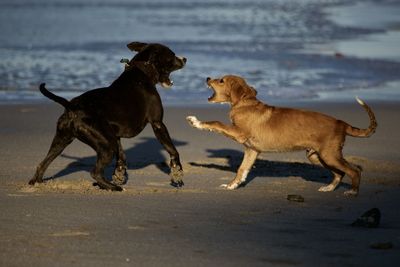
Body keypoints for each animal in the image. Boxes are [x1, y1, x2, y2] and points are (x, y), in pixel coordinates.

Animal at [28, 42, 187, 191]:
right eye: (172, 55)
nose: (185, 59)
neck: (141, 72)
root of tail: (72, 107)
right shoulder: (157, 123)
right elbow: (173, 150)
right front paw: (177, 174)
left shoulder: (116, 135)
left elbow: (121, 157)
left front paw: (119, 175)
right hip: (106, 145)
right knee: (95, 172)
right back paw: (113, 188)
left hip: (61, 141)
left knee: (42, 164)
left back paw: (36, 183)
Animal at [186, 75, 376, 197]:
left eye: (221, 80)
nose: (207, 78)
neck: (245, 103)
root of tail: (341, 123)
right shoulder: (251, 150)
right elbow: (242, 169)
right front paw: (232, 185)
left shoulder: (239, 133)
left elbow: (215, 123)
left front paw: (196, 122)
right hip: (317, 156)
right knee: (339, 173)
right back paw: (329, 188)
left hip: (329, 155)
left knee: (354, 170)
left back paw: (353, 191)